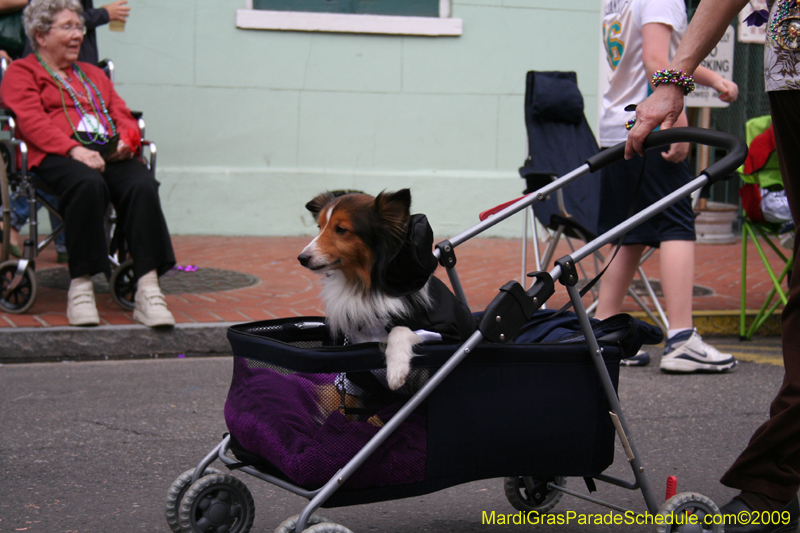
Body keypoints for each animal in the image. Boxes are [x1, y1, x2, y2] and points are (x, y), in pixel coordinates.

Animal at [300, 188, 476, 390]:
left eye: (341, 229)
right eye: (319, 227)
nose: (302, 258)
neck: (367, 286)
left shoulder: (448, 332)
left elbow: (399, 330)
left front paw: (396, 369)